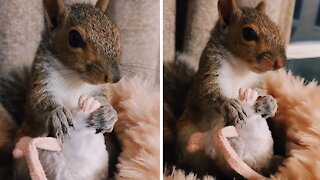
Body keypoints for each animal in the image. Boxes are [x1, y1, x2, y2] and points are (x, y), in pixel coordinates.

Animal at [164, 0, 286, 177]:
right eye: (248, 33)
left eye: (277, 27)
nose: (281, 63)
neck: (242, 66)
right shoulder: (210, 70)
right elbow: (207, 93)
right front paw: (229, 105)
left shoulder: (255, 82)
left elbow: (261, 91)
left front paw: (270, 103)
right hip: (189, 144)